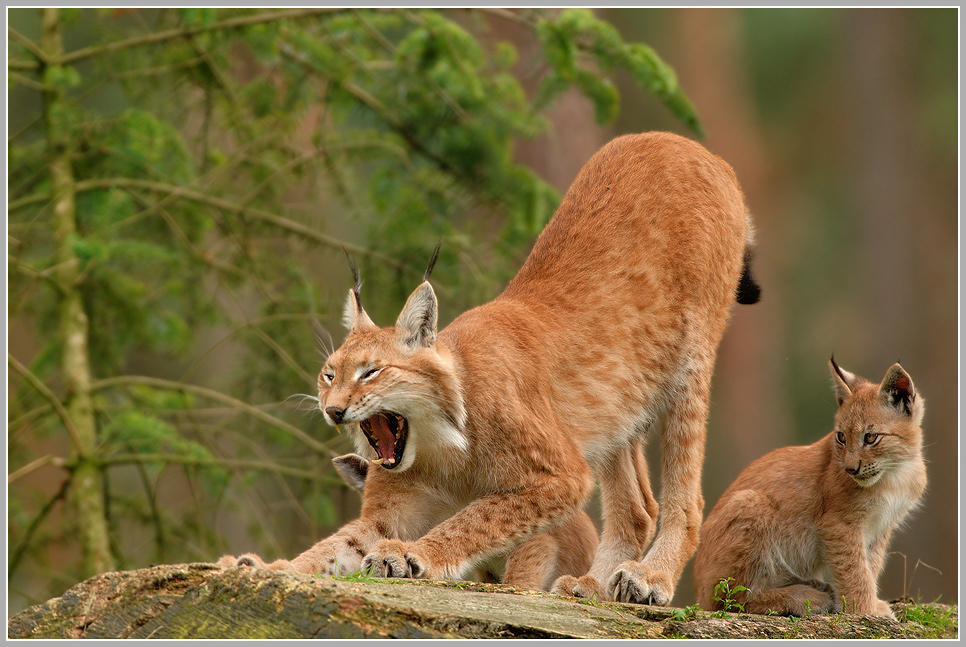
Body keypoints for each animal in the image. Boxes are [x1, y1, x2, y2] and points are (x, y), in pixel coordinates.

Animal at [696, 360, 932, 616]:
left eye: (870, 437)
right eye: (841, 437)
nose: (850, 469)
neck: (895, 472)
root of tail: (697, 587)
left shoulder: (880, 527)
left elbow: (870, 565)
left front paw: (866, 604)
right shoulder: (839, 524)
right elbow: (854, 569)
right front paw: (863, 610)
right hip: (750, 502)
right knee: (729, 600)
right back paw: (804, 597)